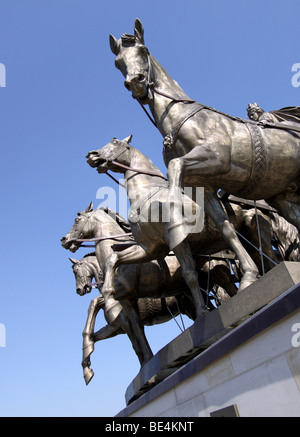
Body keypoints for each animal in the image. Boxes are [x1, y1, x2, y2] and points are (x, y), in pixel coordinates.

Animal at [110, 20, 300, 292]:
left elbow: (175, 166)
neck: (181, 117)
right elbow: (226, 228)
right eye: (118, 62)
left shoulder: (216, 159)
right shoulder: (203, 186)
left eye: (143, 50)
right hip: (283, 195)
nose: (135, 82)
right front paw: (249, 276)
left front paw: (176, 221)